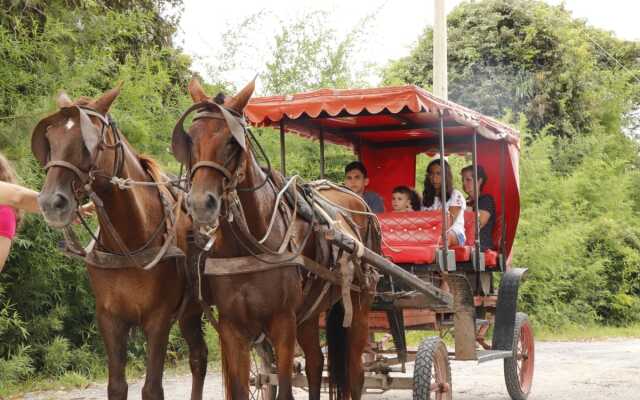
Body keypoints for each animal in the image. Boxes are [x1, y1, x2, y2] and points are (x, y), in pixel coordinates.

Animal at [33, 86, 208, 398]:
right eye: (51, 140)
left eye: (88, 143)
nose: (51, 203)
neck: (130, 242)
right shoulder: (109, 319)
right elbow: (116, 386)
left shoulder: (158, 320)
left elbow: (152, 388)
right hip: (189, 312)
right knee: (199, 357)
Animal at [171, 79, 380, 400]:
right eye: (190, 140)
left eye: (232, 142)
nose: (200, 204)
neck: (251, 246)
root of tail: (355, 200)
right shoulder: (233, 327)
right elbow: (242, 389)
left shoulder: (283, 322)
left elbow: (285, 390)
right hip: (309, 314)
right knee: (316, 362)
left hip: (359, 304)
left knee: (355, 373)